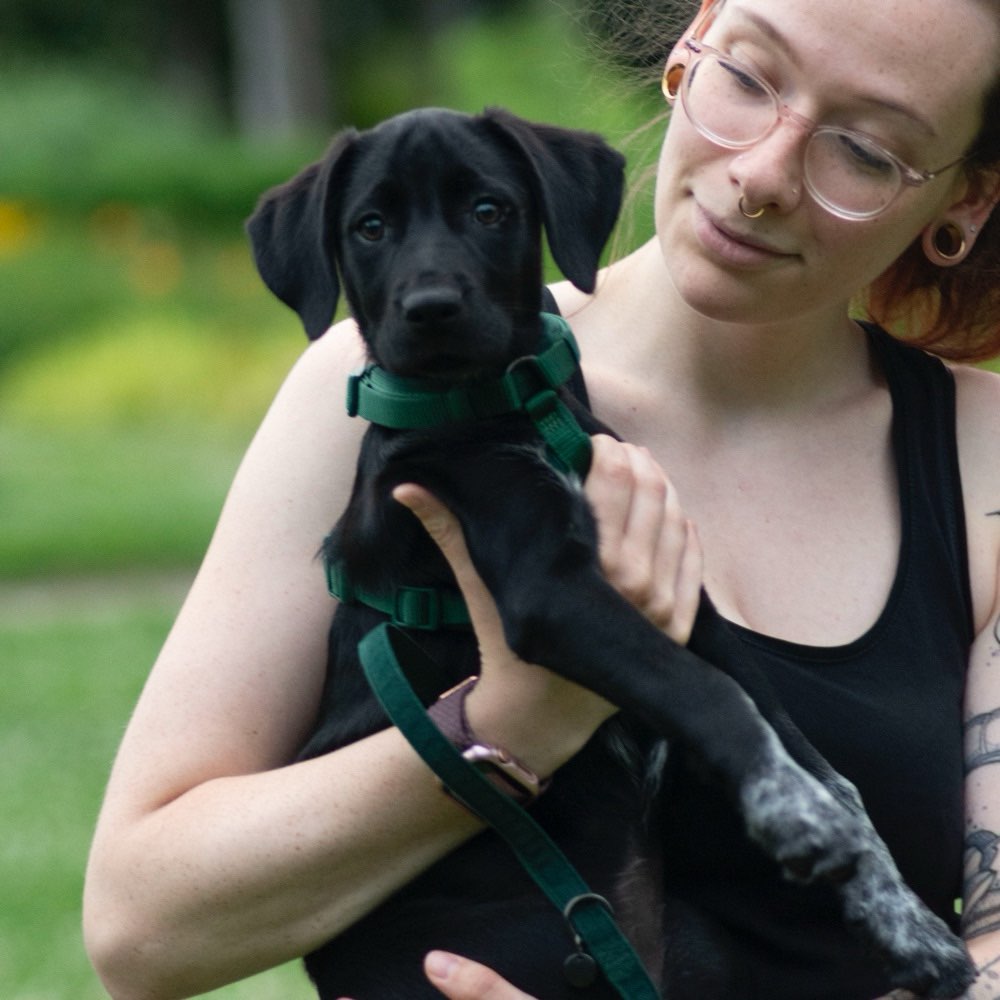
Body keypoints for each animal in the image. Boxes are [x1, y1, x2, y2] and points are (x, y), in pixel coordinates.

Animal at [246, 109, 972, 1000]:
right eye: (370, 228)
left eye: (489, 210)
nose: (431, 309)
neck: (510, 403)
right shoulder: (554, 591)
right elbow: (713, 696)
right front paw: (797, 818)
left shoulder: (686, 600)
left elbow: (814, 757)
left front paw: (901, 919)